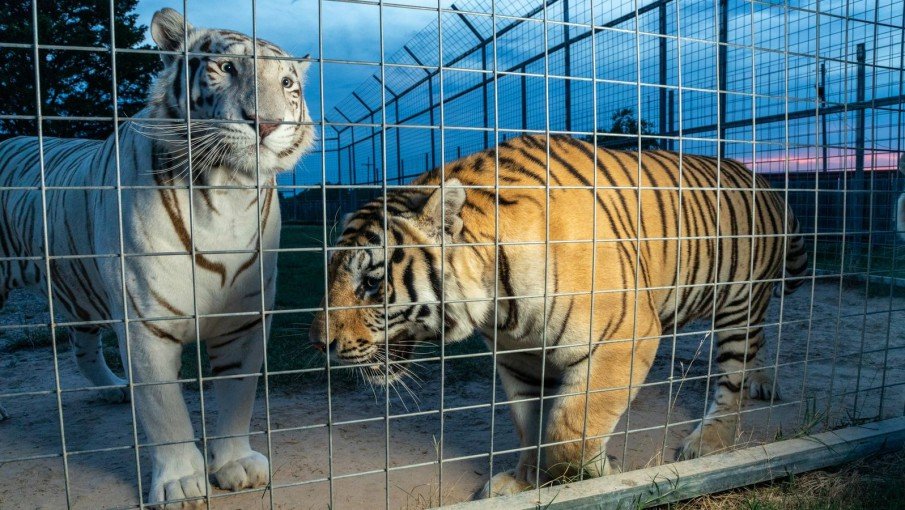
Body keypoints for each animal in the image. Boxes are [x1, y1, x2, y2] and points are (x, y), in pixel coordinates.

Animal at [0, 8, 310, 510]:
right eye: (225, 68)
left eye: (286, 82)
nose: (265, 124)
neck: (228, 196)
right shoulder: (145, 320)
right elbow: (164, 409)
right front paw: (182, 484)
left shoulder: (246, 317)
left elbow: (238, 394)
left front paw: (234, 465)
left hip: (80, 292)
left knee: (82, 347)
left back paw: (113, 391)